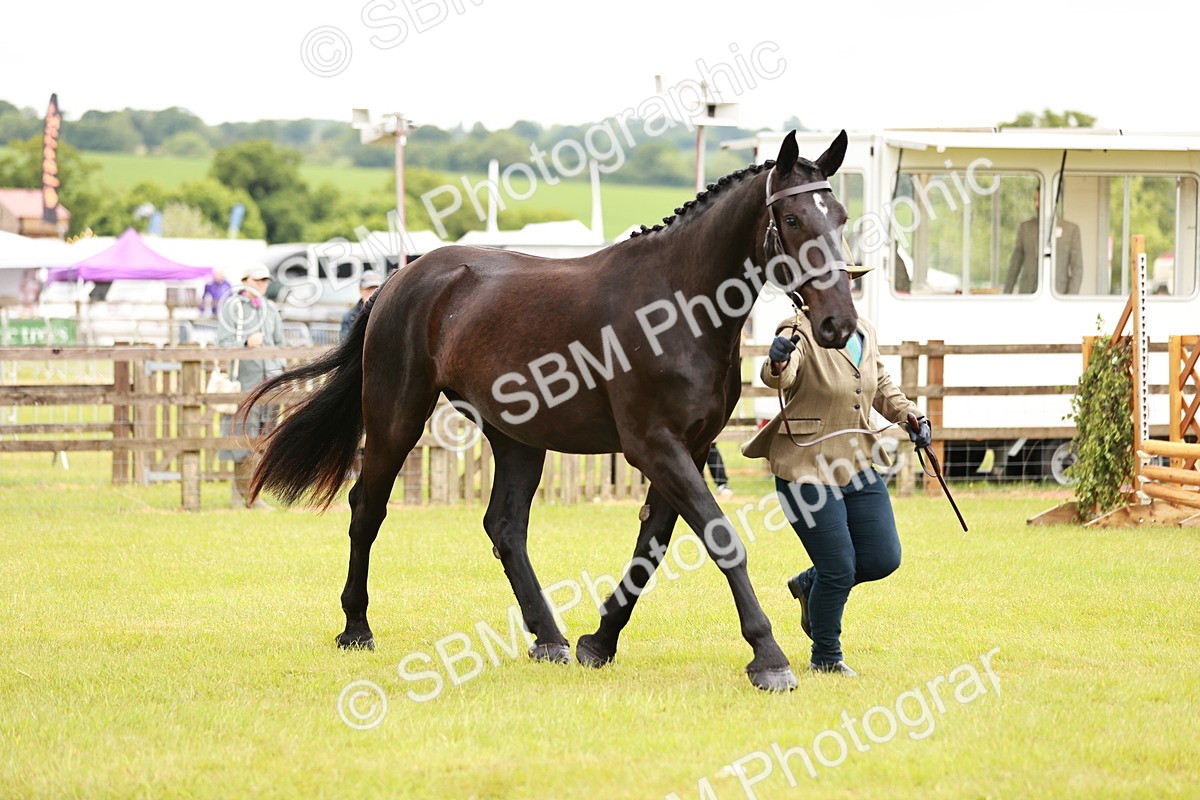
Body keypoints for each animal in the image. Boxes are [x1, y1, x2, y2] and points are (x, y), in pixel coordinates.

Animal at [244, 130, 858, 692]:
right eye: (794, 219)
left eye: (842, 217)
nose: (839, 324)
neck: (678, 306)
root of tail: (401, 277)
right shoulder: (655, 446)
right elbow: (721, 539)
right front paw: (769, 656)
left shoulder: (691, 447)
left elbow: (652, 546)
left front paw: (599, 641)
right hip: (397, 417)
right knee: (367, 508)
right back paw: (357, 627)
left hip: (517, 437)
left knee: (504, 527)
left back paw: (550, 637)